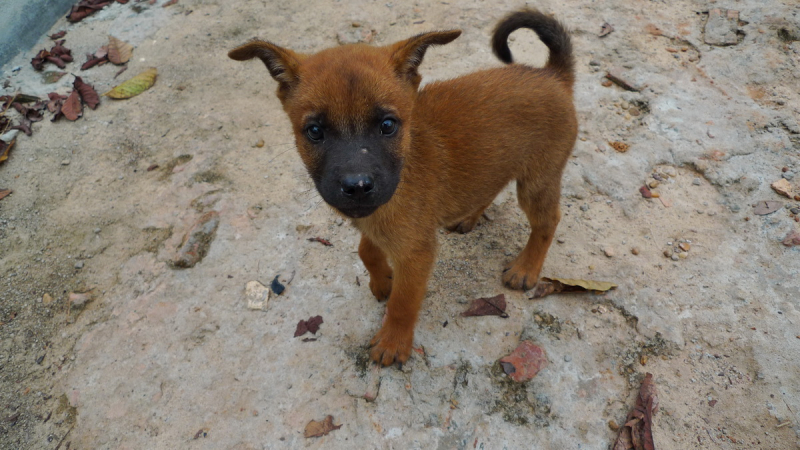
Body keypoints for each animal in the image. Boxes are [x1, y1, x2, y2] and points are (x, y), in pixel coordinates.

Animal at [230, 9, 576, 366]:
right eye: (314, 131)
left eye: (387, 125)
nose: (357, 187)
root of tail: (552, 75)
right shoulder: (374, 224)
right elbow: (366, 250)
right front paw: (382, 280)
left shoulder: (416, 253)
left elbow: (403, 302)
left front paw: (393, 342)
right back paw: (468, 217)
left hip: (538, 180)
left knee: (548, 221)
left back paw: (525, 268)